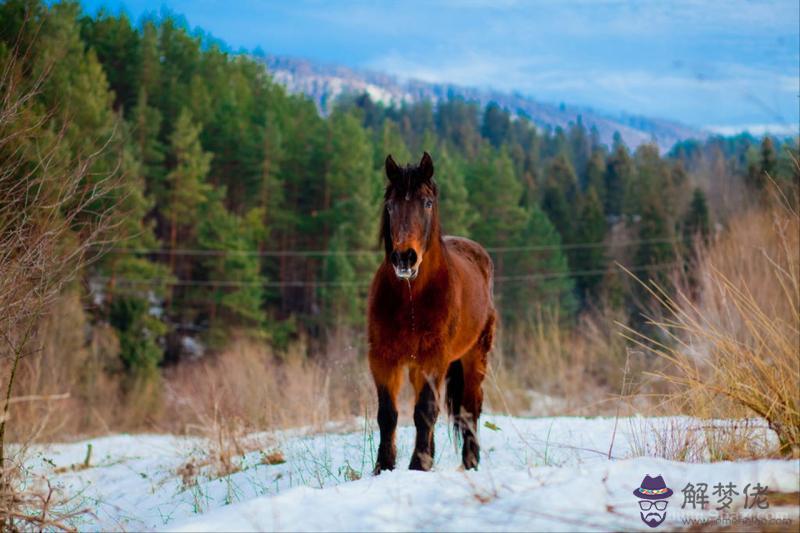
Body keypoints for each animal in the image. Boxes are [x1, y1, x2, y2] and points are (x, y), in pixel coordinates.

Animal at [368, 152, 494, 472]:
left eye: (426, 203)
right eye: (390, 205)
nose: (404, 258)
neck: (412, 299)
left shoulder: (433, 358)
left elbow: (425, 411)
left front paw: (418, 465)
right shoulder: (382, 358)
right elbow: (388, 414)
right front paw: (383, 467)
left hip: (474, 356)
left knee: (470, 408)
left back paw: (470, 462)